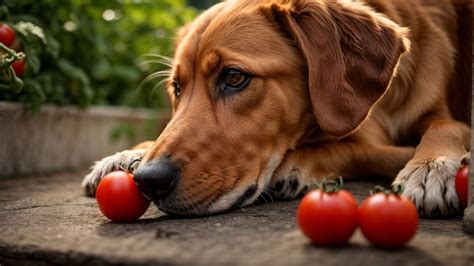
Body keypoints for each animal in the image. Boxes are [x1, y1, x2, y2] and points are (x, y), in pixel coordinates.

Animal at [82, 0, 470, 216]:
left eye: (234, 77)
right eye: (177, 88)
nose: (149, 180)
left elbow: (445, 126)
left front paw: (431, 167)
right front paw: (124, 155)